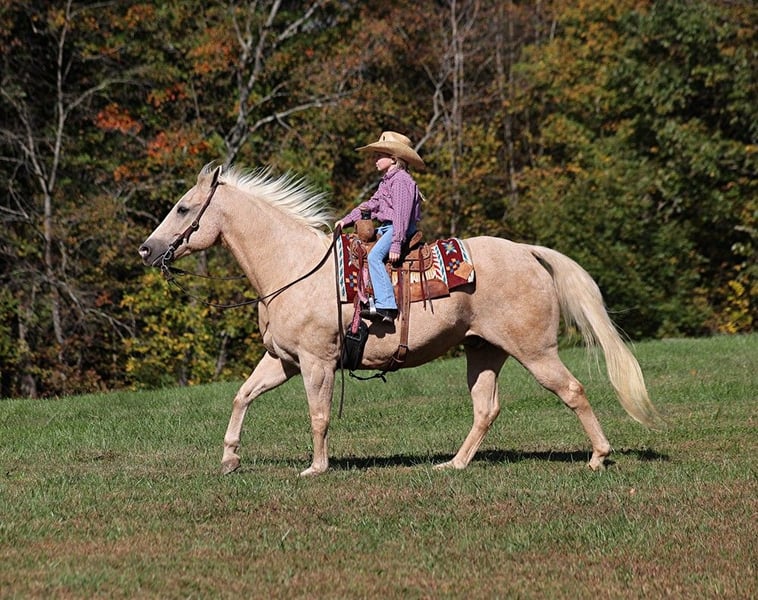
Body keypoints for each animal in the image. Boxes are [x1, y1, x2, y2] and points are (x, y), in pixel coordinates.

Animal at [138, 163, 662, 476]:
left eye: (183, 208)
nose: (147, 248)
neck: (292, 267)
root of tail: (528, 252)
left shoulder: (316, 362)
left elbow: (318, 413)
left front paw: (316, 468)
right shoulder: (282, 360)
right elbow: (242, 396)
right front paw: (229, 458)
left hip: (535, 351)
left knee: (572, 391)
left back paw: (598, 457)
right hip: (484, 351)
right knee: (486, 409)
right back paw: (453, 465)